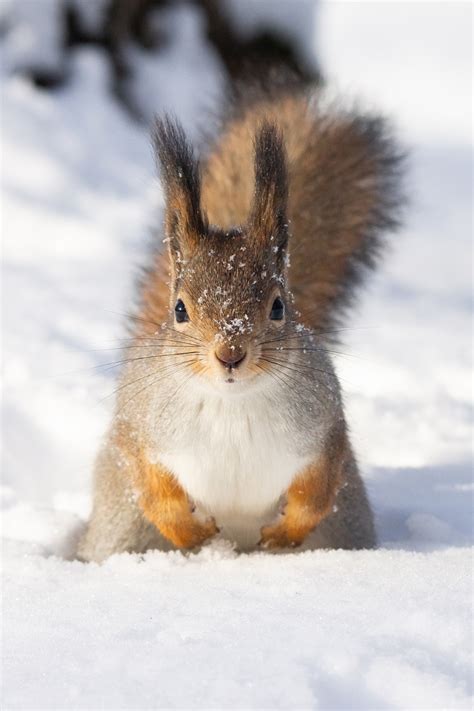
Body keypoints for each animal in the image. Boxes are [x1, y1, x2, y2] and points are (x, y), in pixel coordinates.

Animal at [78, 80, 404, 564]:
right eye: (180, 309)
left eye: (278, 307)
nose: (230, 353)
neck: (230, 404)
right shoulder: (138, 425)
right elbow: (152, 484)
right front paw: (192, 532)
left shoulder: (325, 424)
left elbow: (318, 487)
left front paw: (284, 533)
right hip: (120, 522)